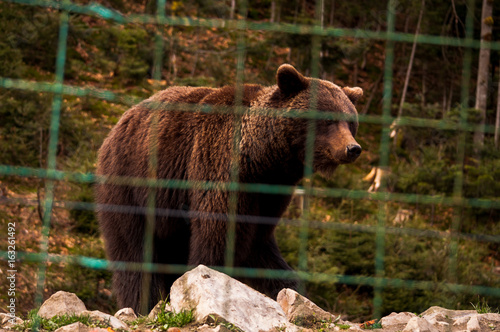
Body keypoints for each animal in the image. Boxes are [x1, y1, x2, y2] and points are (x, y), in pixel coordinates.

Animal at [95, 63, 362, 312]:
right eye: (328, 120)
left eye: (351, 121)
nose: (352, 148)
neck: (263, 158)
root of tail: (119, 123)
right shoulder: (218, 163)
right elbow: (218, 232)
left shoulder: (271, 192)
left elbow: (258, 243)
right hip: (130, 182)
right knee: (133, 249)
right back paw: (142, 303)